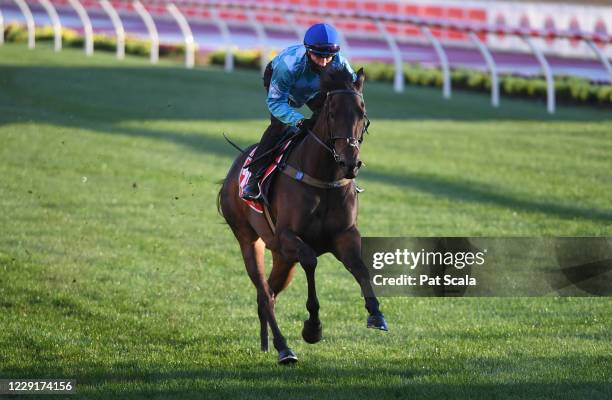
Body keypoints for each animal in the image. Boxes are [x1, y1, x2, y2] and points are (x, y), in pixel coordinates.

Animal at [218, 67, 384, 364]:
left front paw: (376, 313)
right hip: (250, 240)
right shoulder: (288, 237)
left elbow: (360, 267)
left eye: (362, 112)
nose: (350, 163)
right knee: (264, 294)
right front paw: (313, 328)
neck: (323, 176)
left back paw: (267, 344)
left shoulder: (345, 235)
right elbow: (310, 261)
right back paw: (284, 348)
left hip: (282, 258)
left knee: (269, 294)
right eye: (332, 112)